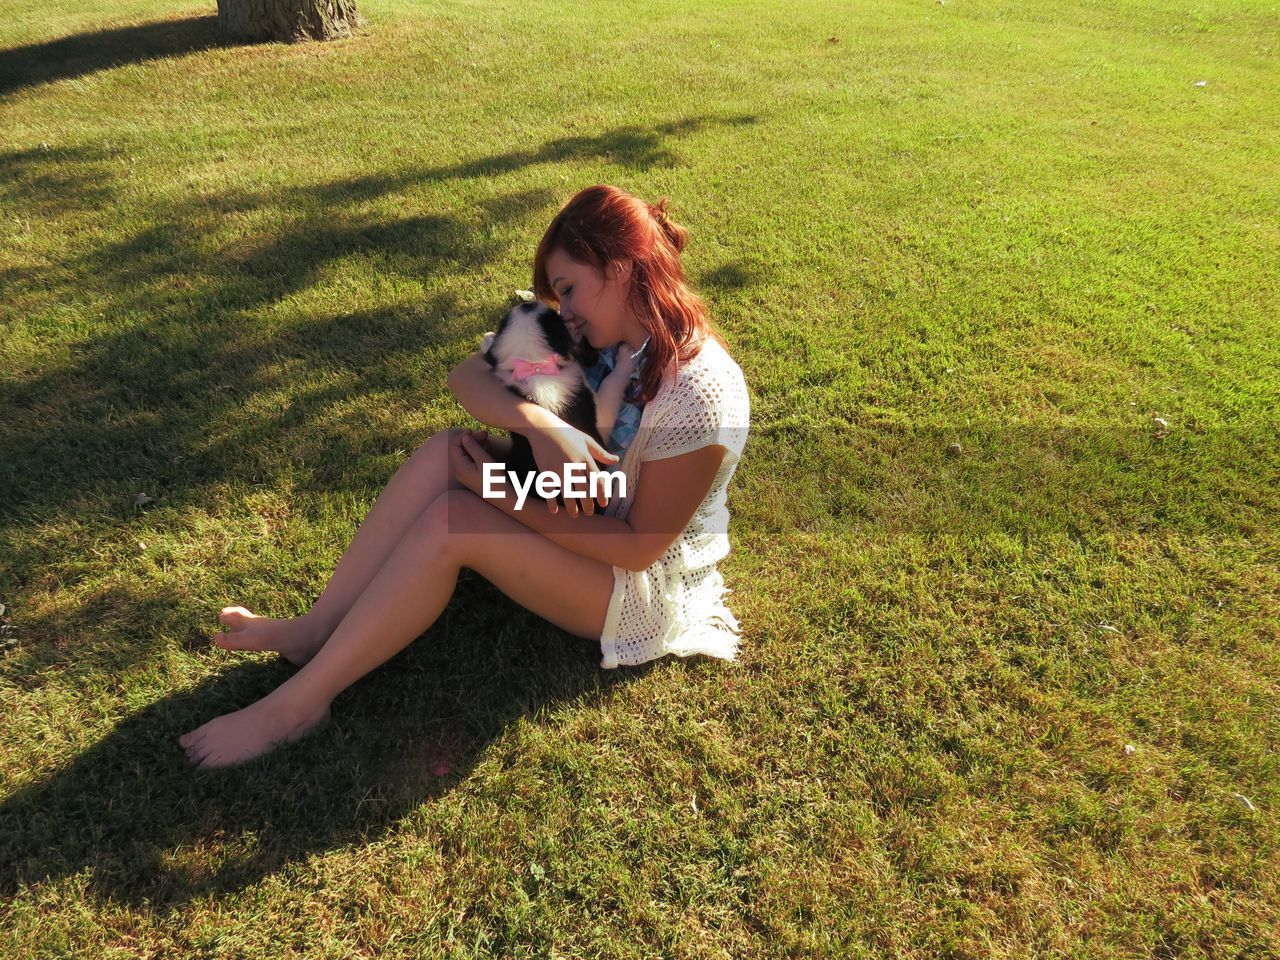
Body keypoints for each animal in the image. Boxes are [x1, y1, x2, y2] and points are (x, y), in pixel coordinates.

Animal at [481, 302, 637, 491]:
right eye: (557, 317)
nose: (528, 303)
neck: (536, 367)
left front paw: (488, 339)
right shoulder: (598, 422)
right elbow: (612, 383)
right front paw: (627, 357)